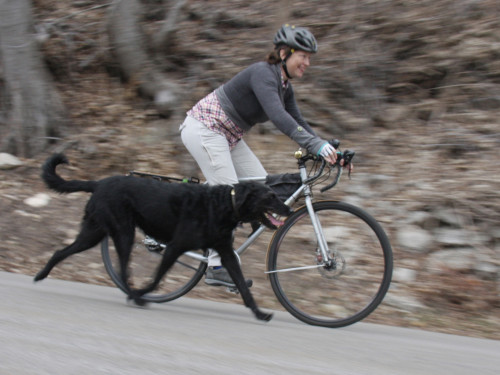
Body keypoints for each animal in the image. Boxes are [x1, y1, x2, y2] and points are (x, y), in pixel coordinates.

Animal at [35, 154, 292, 322]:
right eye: (270, 196)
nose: (289, 210)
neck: (224, 204)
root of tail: (99, 183)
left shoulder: (226, 253)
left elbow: (243, 287)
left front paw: (260, 313)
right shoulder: (174, 247)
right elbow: (156, 279)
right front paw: (141, 294)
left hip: (93, 233)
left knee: (62, 251)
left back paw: (41, 275)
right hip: (123, 234)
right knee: (122, 270)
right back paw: (134, 296)